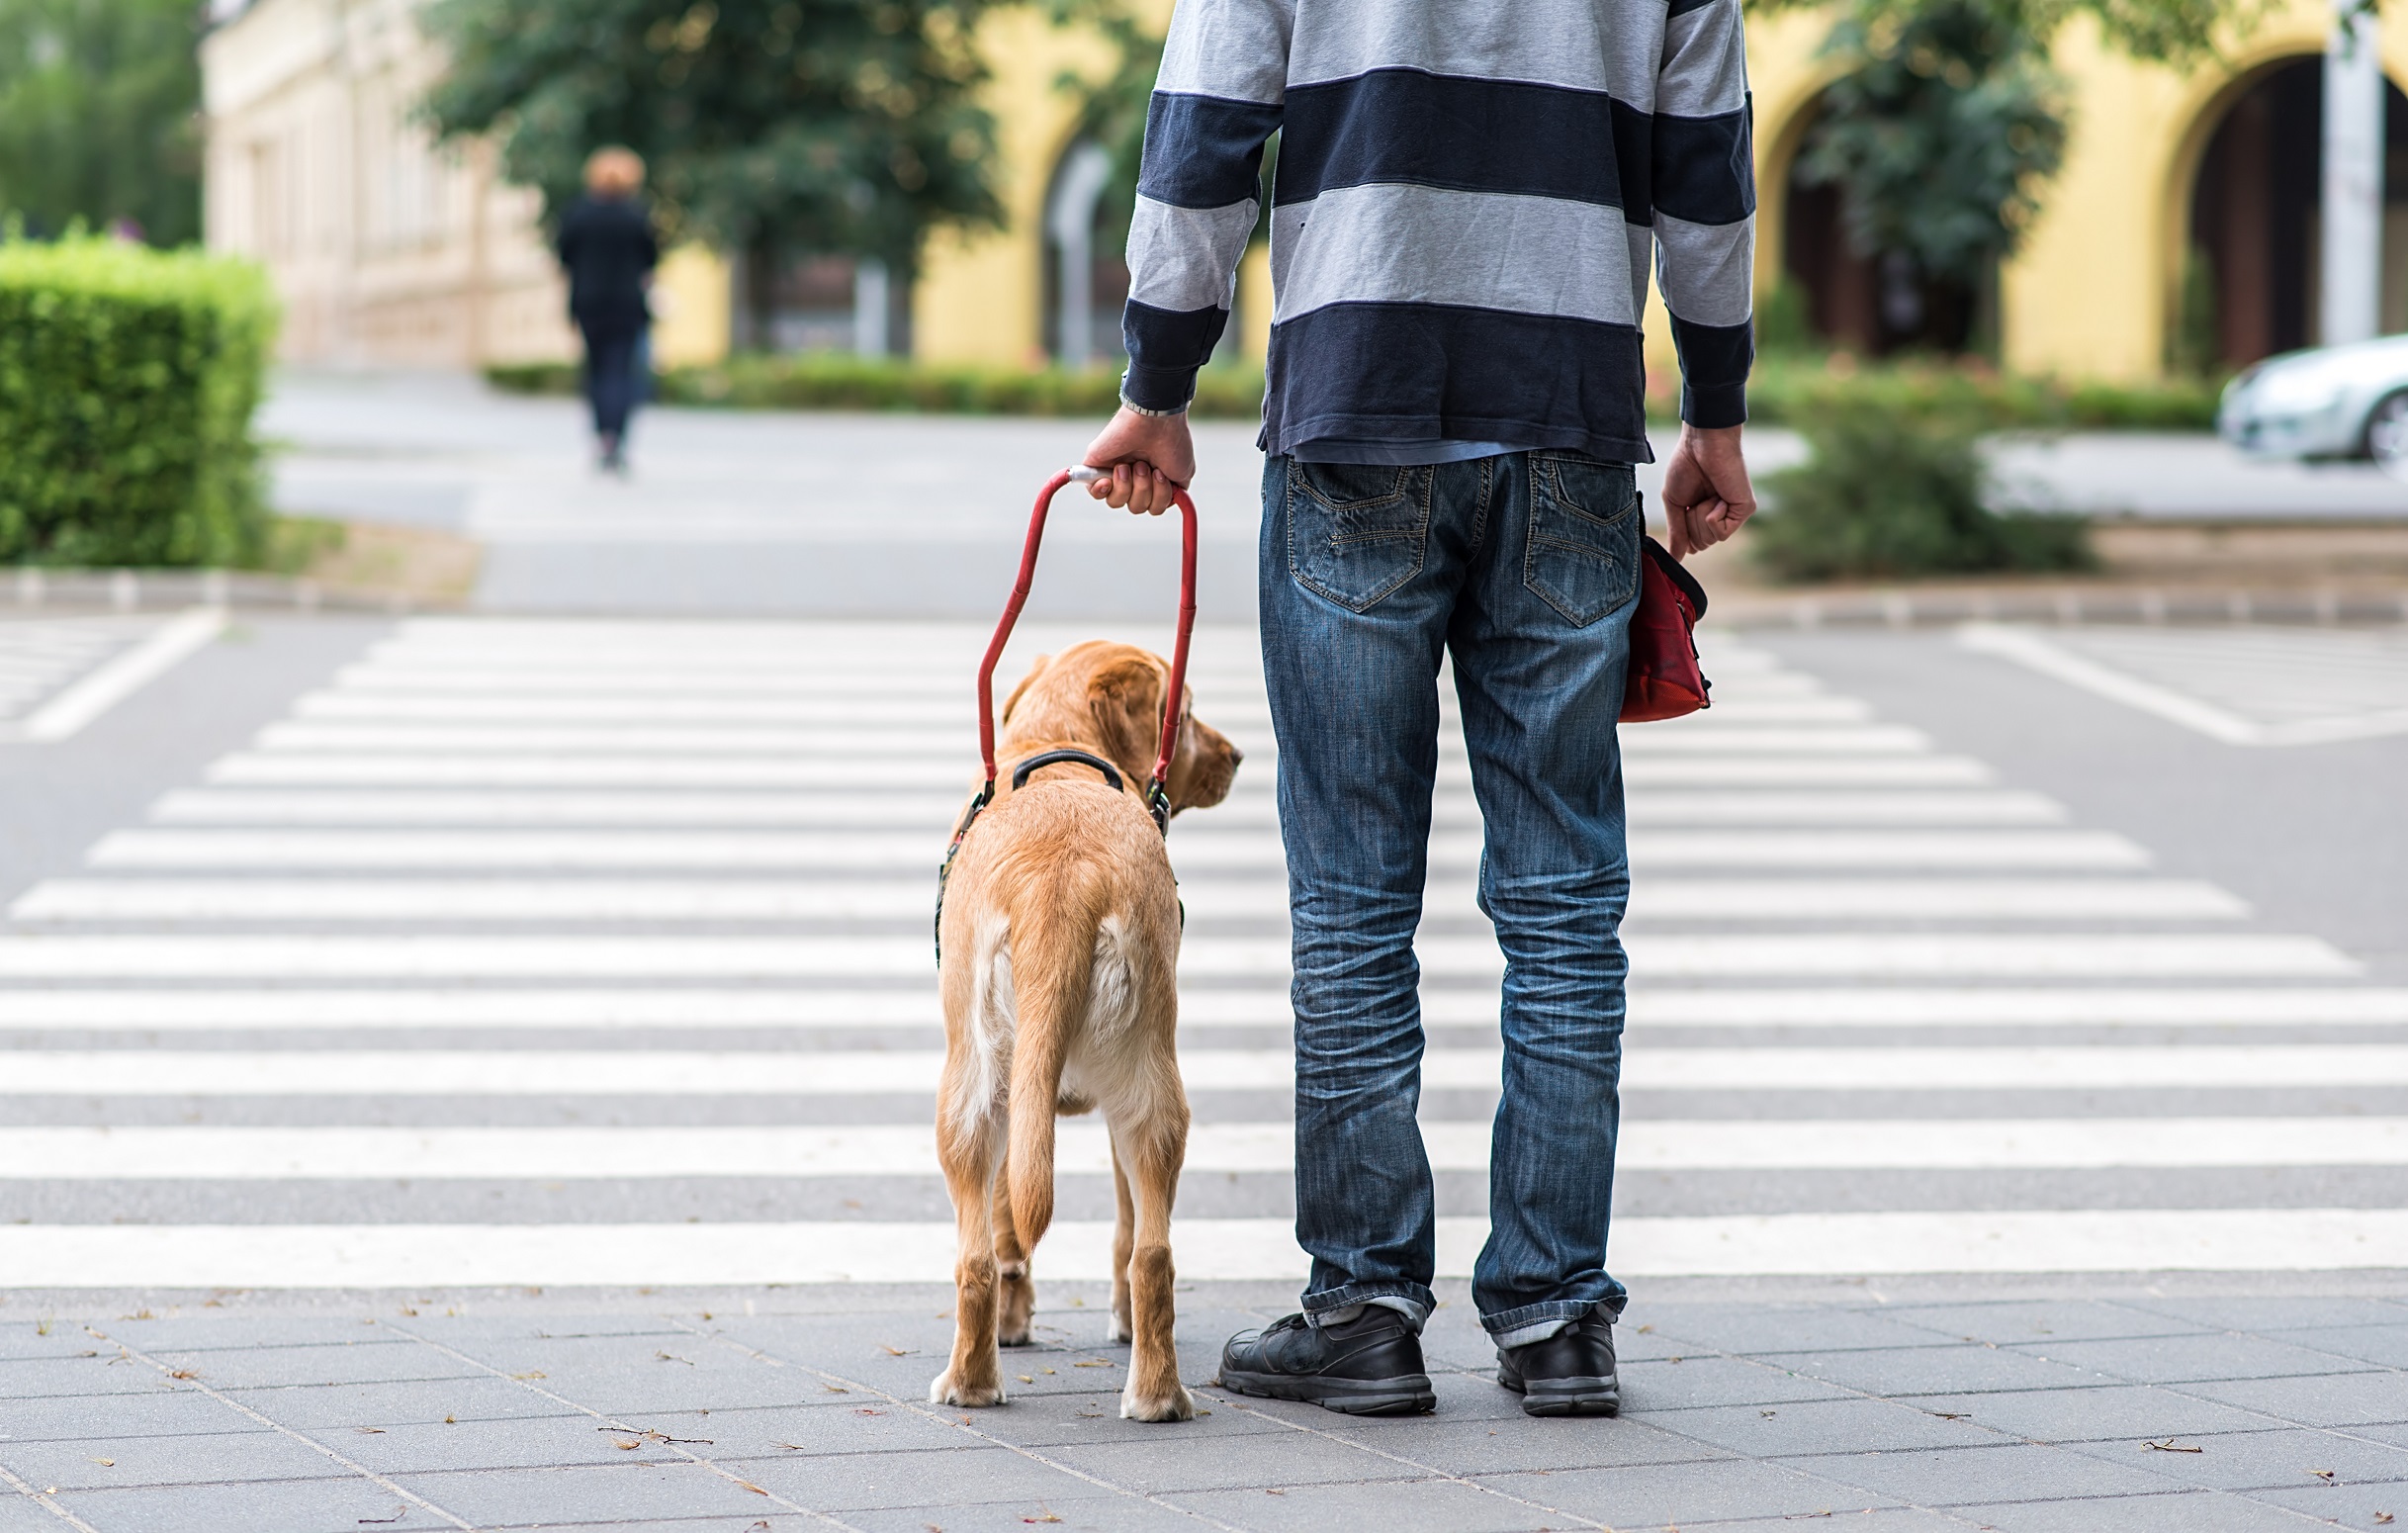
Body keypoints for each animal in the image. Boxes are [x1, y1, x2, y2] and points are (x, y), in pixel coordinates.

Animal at [929, 640, 1242, 1414]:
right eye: (1185, 711)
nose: (1238, 755)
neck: (1061, 747)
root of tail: (1059, 884)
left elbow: (1012, 1221)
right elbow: (1105, 1233)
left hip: (978, 1093)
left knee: (987, 1257)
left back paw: (976, 1383)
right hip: (1144, 1096)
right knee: (1147, 1255)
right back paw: (1152, 1395)